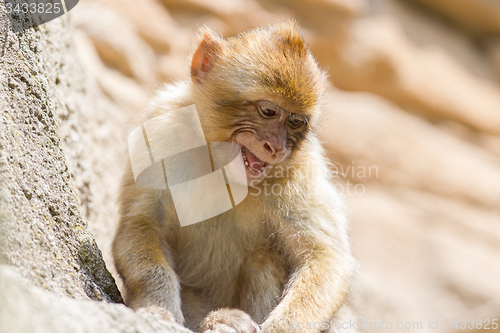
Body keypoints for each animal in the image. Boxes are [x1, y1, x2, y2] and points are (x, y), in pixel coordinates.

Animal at [112, 21, 358, 332]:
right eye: (268, 111)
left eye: (295, 122)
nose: (277, 147)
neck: (219, 166)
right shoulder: (160, 128)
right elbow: (142, 225)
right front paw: (158, 309)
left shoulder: (303, 170)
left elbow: (325, 258)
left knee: (264, 256)